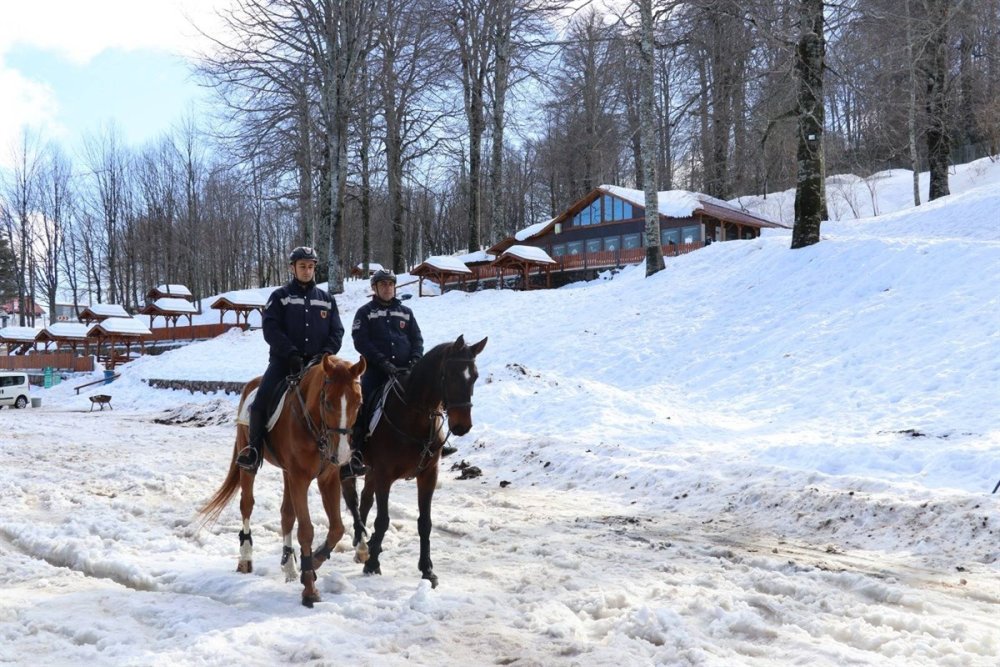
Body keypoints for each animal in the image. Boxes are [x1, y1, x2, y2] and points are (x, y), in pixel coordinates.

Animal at [197, 358, 366, 608]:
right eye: (327, 402)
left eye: (358, 402)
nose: (343, 454)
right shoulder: (299, 478)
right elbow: (306, 530)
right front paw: (309, 589)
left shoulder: (327, 478)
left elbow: (337, 528)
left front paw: (315, 560)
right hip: (249, 462)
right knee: (247, 505)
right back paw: (245, 558)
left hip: (288, 473)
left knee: (287, 514)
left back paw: (290, 566)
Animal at [342, 336, 486, 588]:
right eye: (451, 375)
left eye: (475, 376)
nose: (462, 426)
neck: (413, 415)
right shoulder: (384, 475)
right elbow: (383, 520)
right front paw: (373, 564)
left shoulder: (428, 475)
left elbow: (425, 522)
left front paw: (427, 569)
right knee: (353, 499)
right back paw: (361, 543)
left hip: (370, 472)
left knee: (365, 500)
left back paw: (365, 543)